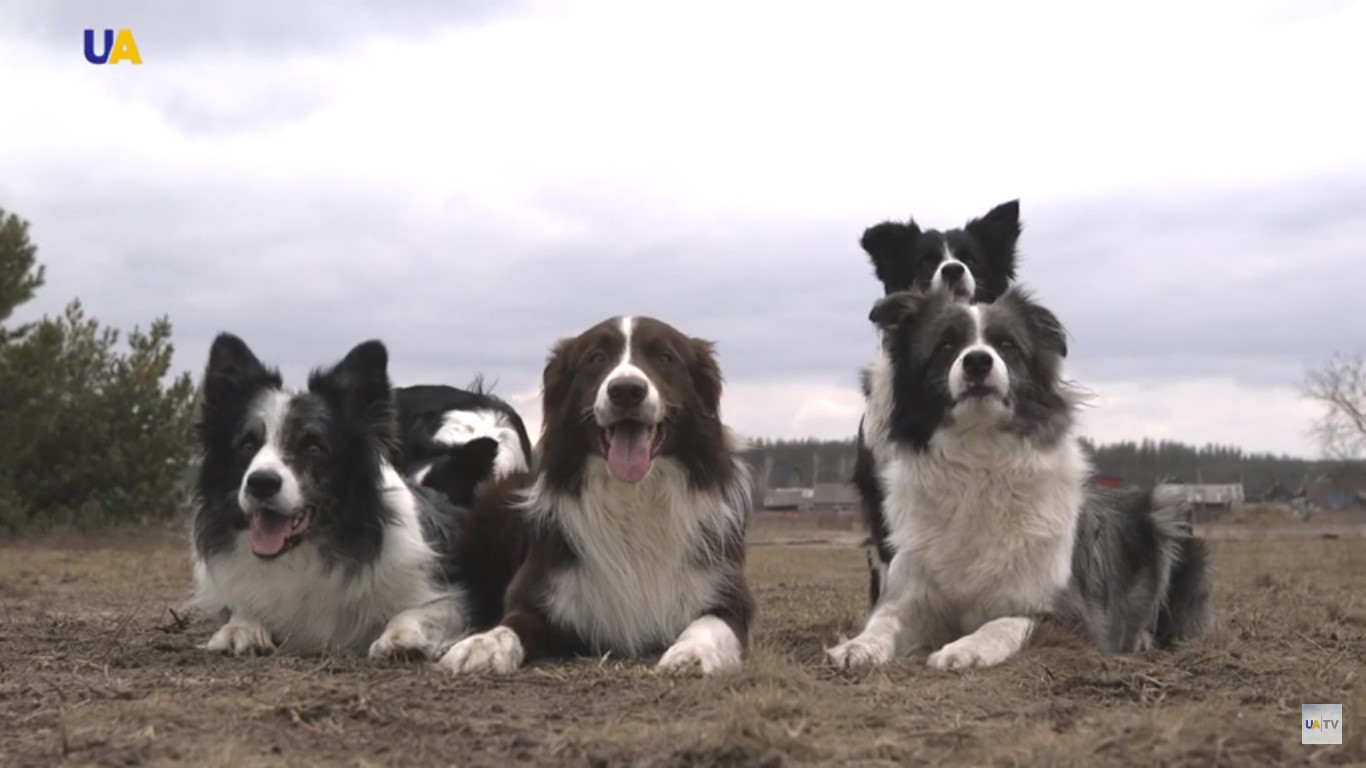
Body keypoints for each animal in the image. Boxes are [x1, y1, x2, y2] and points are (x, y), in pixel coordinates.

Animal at [189, 334, 513, 658]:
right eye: (247, 444)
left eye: (314, 447)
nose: (261, 483)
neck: (307, 552)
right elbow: (242, 610)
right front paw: (239, 629)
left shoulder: (456, 596)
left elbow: (422, 610)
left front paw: (401, 636)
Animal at [825, 288, 1213, 669]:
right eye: (945, 345)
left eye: (1006, 344)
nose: (977, 361)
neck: (979, 457)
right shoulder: (909, 593)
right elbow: (884, 621)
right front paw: (858, 645)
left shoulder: (1072, 615)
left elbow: (1006, 622)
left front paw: (964, 648)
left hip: (1168, 504)